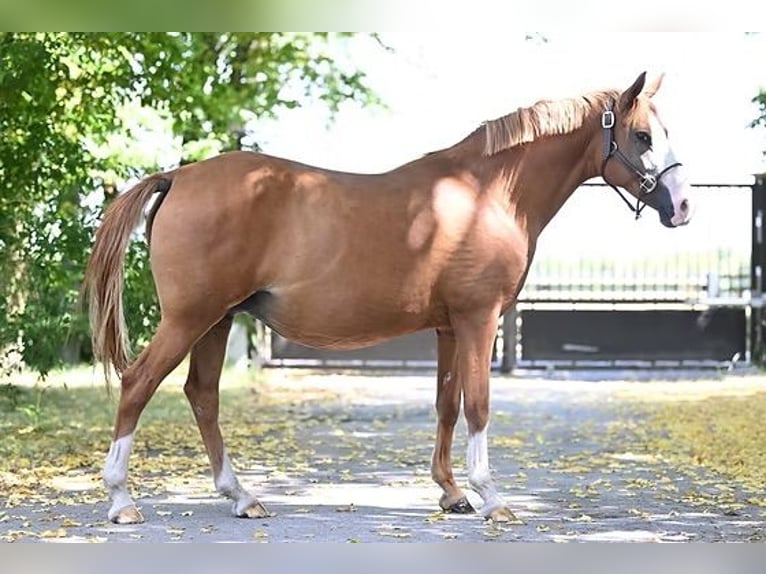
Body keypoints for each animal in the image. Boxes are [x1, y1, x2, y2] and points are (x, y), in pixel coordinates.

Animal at [84, 72, 696, 528]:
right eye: (642, 136)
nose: (684, 206)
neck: (489, 192)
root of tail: (178, 177)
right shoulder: (479, 320)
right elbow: (478, 405)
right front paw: (492, 498)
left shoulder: (450, 327)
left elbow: (447, 404)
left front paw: (452, 493)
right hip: (190, 318)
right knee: (138, 385)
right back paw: (122, 501)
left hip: (216, 320)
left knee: (202, 395)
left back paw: (241, 496)